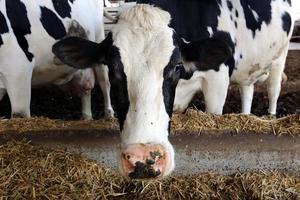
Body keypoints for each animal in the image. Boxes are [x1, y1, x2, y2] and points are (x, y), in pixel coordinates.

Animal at [139, 0, 294, 115]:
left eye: (176, 63)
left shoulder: (219, 76)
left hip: (281, 55)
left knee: (273, 88)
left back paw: (271, 115)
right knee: (247, 91)